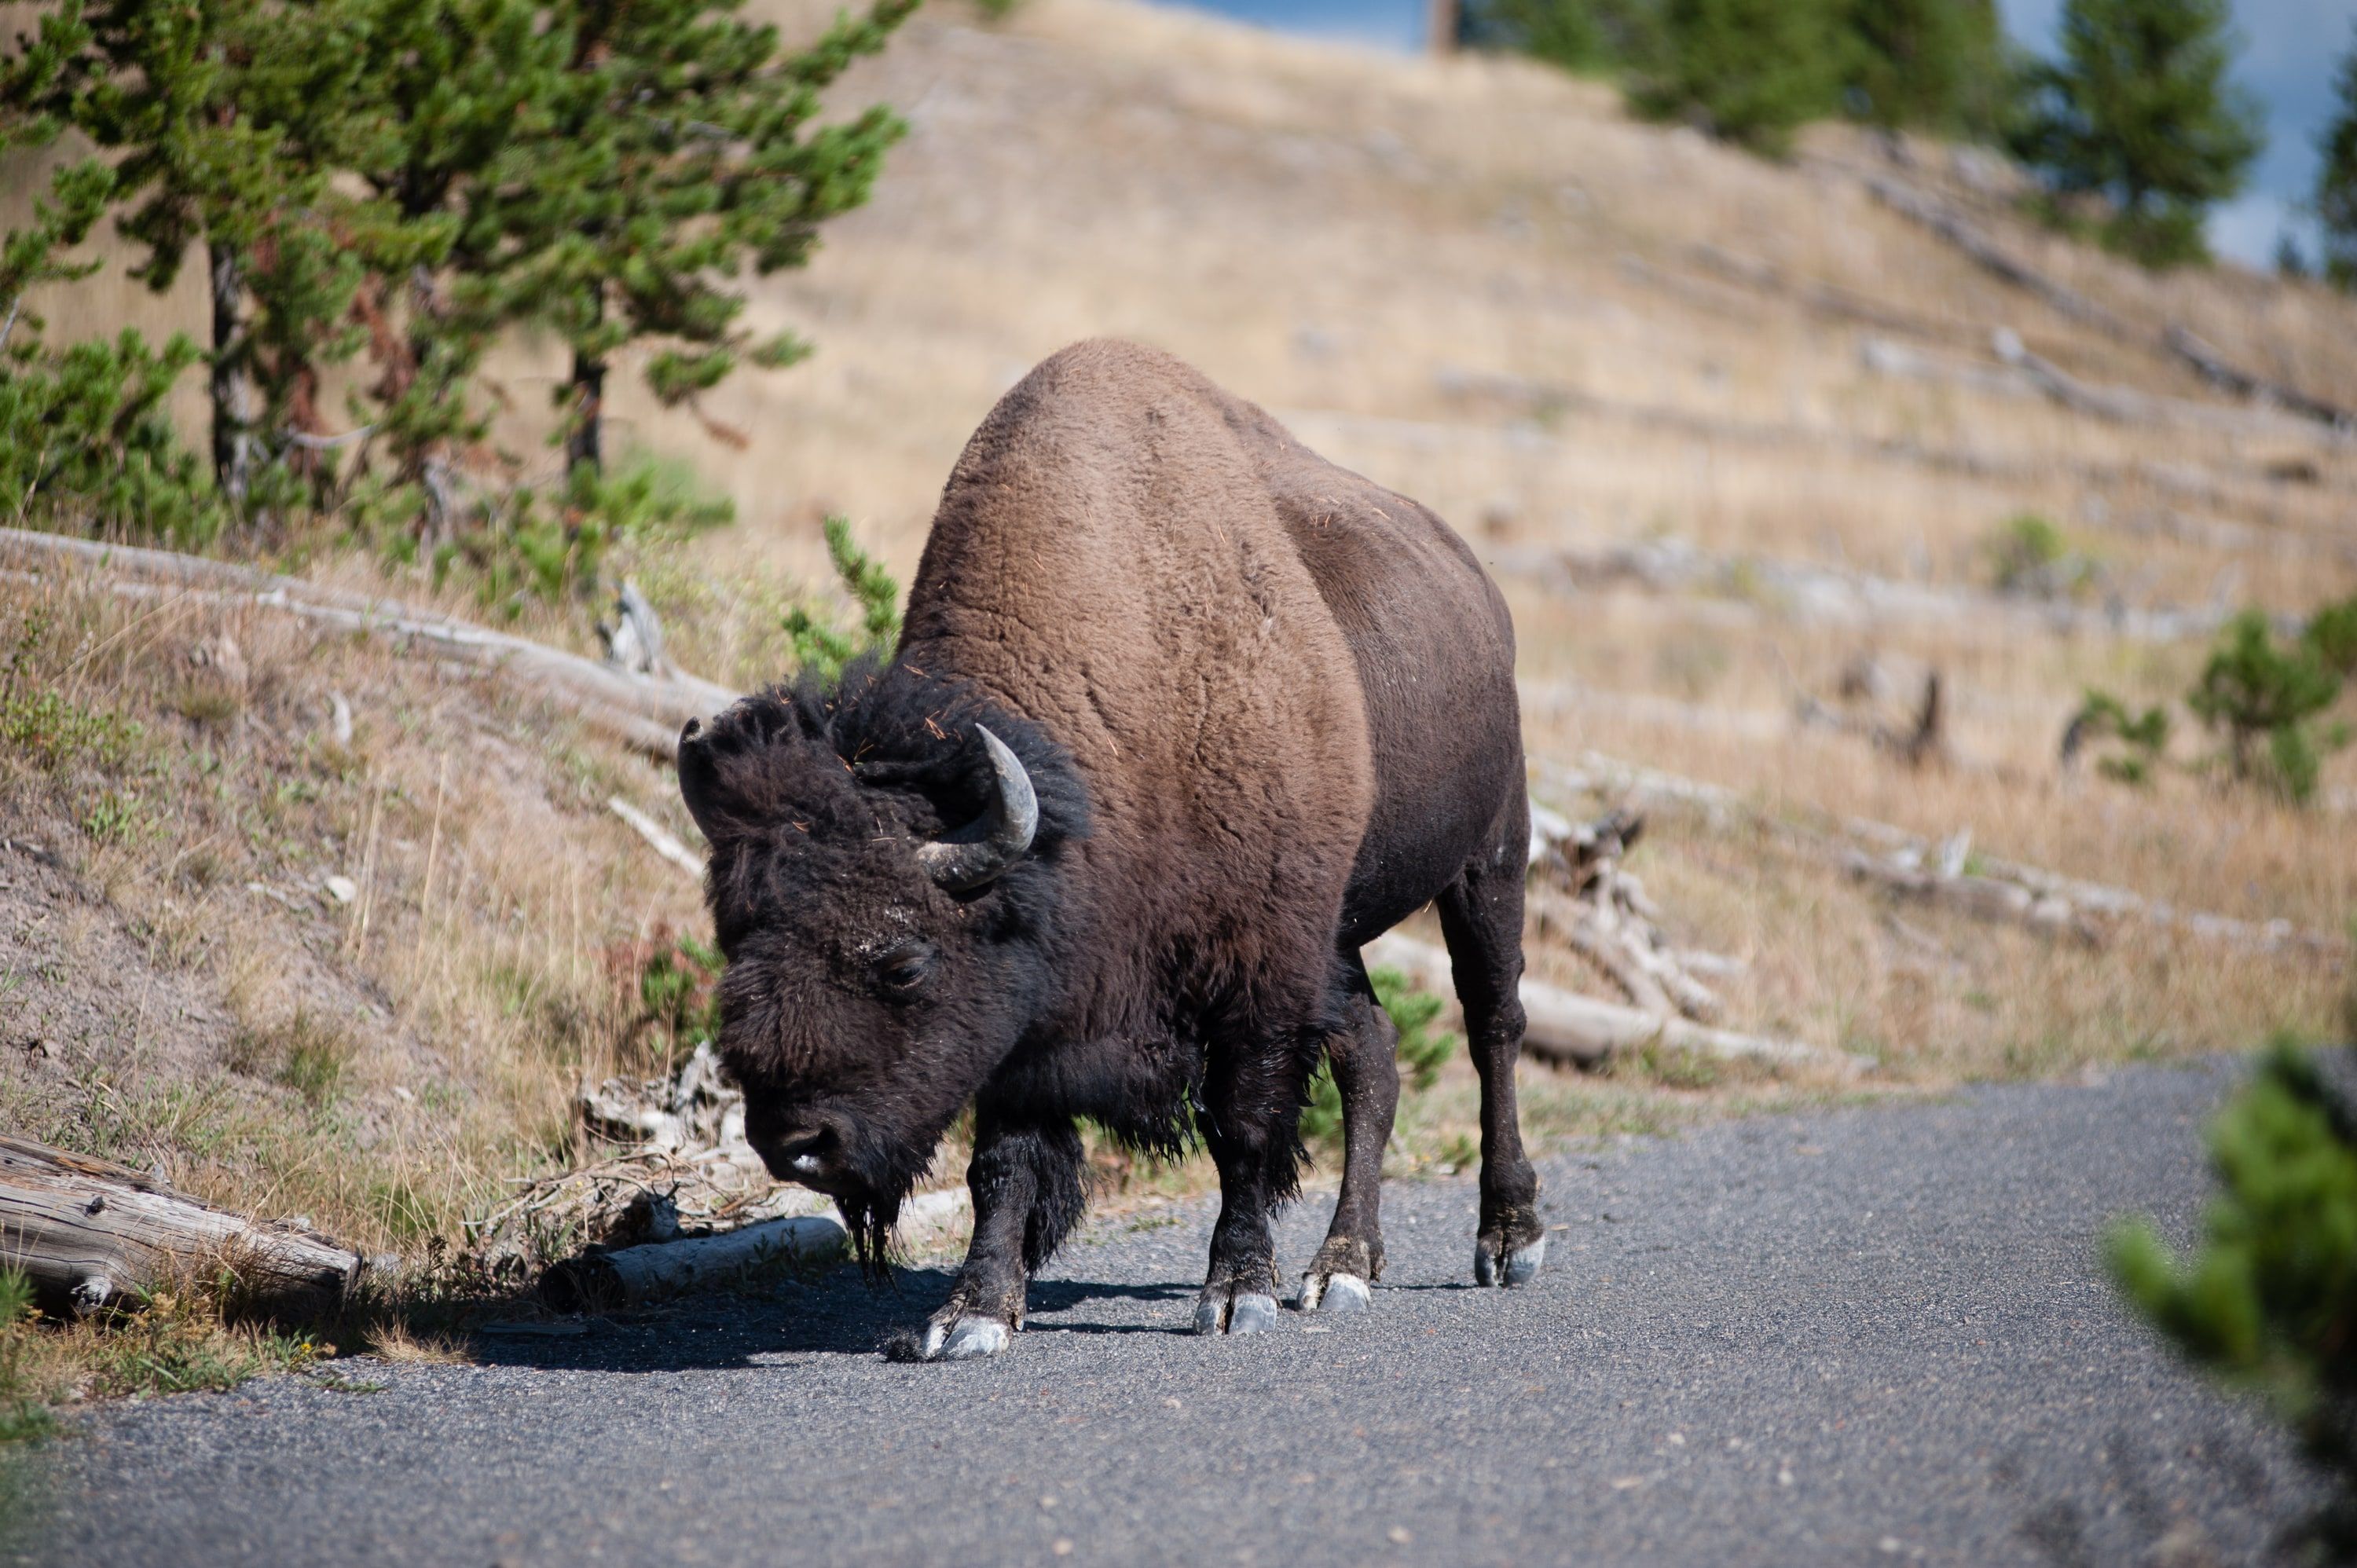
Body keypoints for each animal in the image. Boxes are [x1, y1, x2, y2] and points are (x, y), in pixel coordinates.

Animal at [678, 339, 1541, 1359]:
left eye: (903, 964)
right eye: (735, 947)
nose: (795, 1144)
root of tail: (1477, 582)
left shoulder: (1252, 971)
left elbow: (1243, 1128)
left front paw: (1236, 1293)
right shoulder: (1037, 1002)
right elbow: (1003, 1160)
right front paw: (971, 1315)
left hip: (1489, 857)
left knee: (1493, 1027)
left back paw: (1505, 1241)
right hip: (1340, 938)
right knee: (1372, 1051)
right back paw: (1343, 1267)